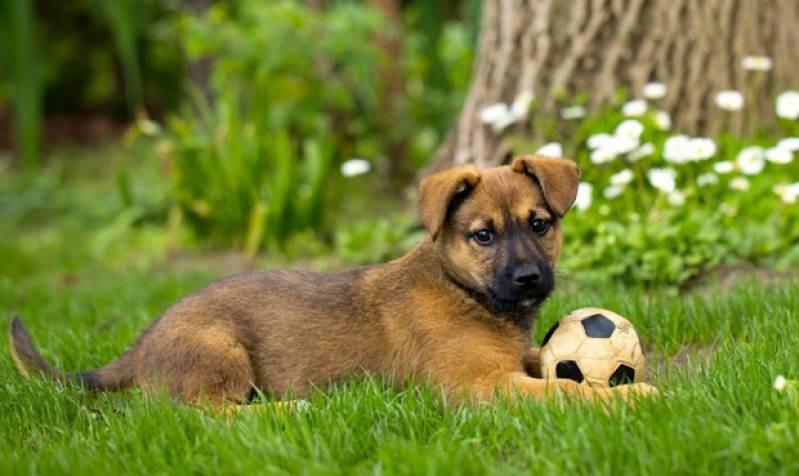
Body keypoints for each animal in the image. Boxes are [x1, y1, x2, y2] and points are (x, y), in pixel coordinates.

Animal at [7, 154, 656, 408]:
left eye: (540, 224)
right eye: (483, 236)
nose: (528, 279)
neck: (462, 290)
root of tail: (140, 346)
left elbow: (561, 378)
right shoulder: (480, 387)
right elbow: (571, 389)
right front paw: (638, 396)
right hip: (219, 352)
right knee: (207, 415)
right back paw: (289, 410)